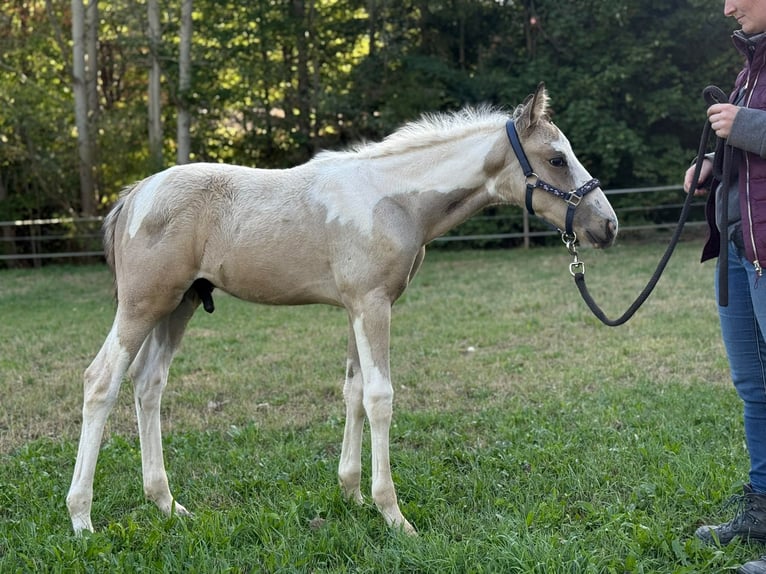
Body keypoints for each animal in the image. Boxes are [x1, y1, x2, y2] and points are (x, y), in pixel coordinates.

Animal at [66, 84, 618, 535]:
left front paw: (352, 494)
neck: (393, 199)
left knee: (148, 384)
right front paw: (393, 514)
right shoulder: (372, 305)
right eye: (556, 159)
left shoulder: (357, 306)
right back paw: (82, 518)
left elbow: (353, 391)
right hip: (144, 304)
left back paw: (166, 504)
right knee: (101, 381)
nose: (607, 225)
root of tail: (135, 194)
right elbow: (380, 397)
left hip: (178, 305)